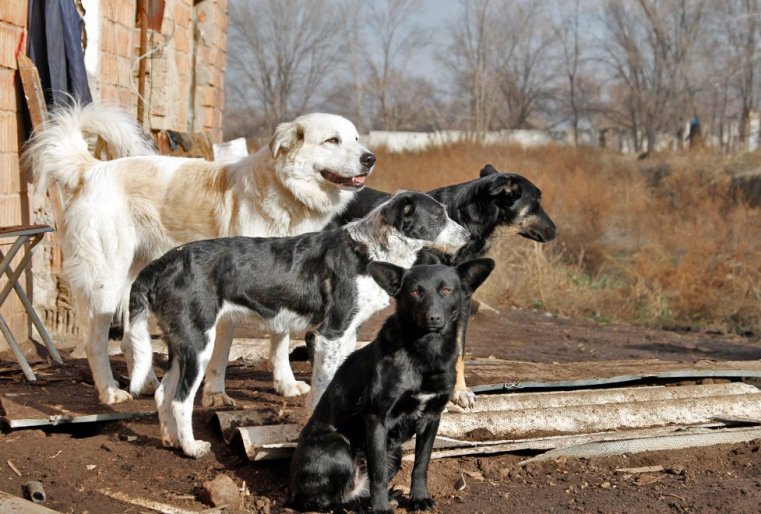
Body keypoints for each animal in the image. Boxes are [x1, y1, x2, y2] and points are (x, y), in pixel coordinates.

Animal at [25, 101, 376, 404]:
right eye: (333, 140)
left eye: (356, 139)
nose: (371, 158)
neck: (284, 194)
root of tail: (92, 170)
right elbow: (222, 352)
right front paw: (216, 395)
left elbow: (280, 341)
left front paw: (286, 385)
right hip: (105, 283)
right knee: (95, 341)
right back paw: (110, 391)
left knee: (128, 336)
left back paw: (147, 382)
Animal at [125, 190, 470, 454]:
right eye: (438, 216)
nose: (468, 236)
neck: (369, 251)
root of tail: (163, 263)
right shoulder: (331, 334)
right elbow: (323, 387)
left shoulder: (347, 335)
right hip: (198, 345)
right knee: (181, 400)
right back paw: (191, 448)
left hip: (182, 343)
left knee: (162, 394)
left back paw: (170, 440)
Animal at [288, 258, 496, 510]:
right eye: (415, 291)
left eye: (446, 290)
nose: (433, 318)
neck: (425, 352)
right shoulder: (377, 419)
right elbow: (378, 475)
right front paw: (380, 509)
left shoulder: (432, 419)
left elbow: (421, 465)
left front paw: (418, 498)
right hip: (338, 444)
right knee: (324, 501)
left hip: (394, 453)